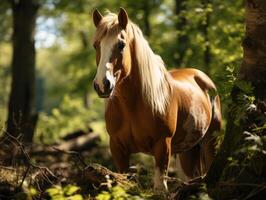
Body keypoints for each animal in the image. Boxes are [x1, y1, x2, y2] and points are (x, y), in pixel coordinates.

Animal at [92, 7, 221, 191]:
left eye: (121, 44)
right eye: (96, 45)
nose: (102, 85)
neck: (132, 106)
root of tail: (202, 77)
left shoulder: (162, 146)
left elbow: (160, 188)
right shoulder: (117, 148)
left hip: (210, 140)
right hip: (187, 150)